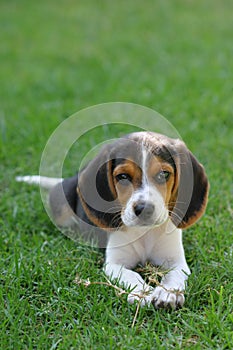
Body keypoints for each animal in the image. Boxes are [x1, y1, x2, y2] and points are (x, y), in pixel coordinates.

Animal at [17, 131, 208, 308]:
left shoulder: (177, 261)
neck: (144, 233)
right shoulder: (114, 264)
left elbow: (174, 275)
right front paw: (143, 293)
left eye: (164, 174)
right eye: (122, 177)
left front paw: (168, 293)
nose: (144, 209)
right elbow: (132, 274)